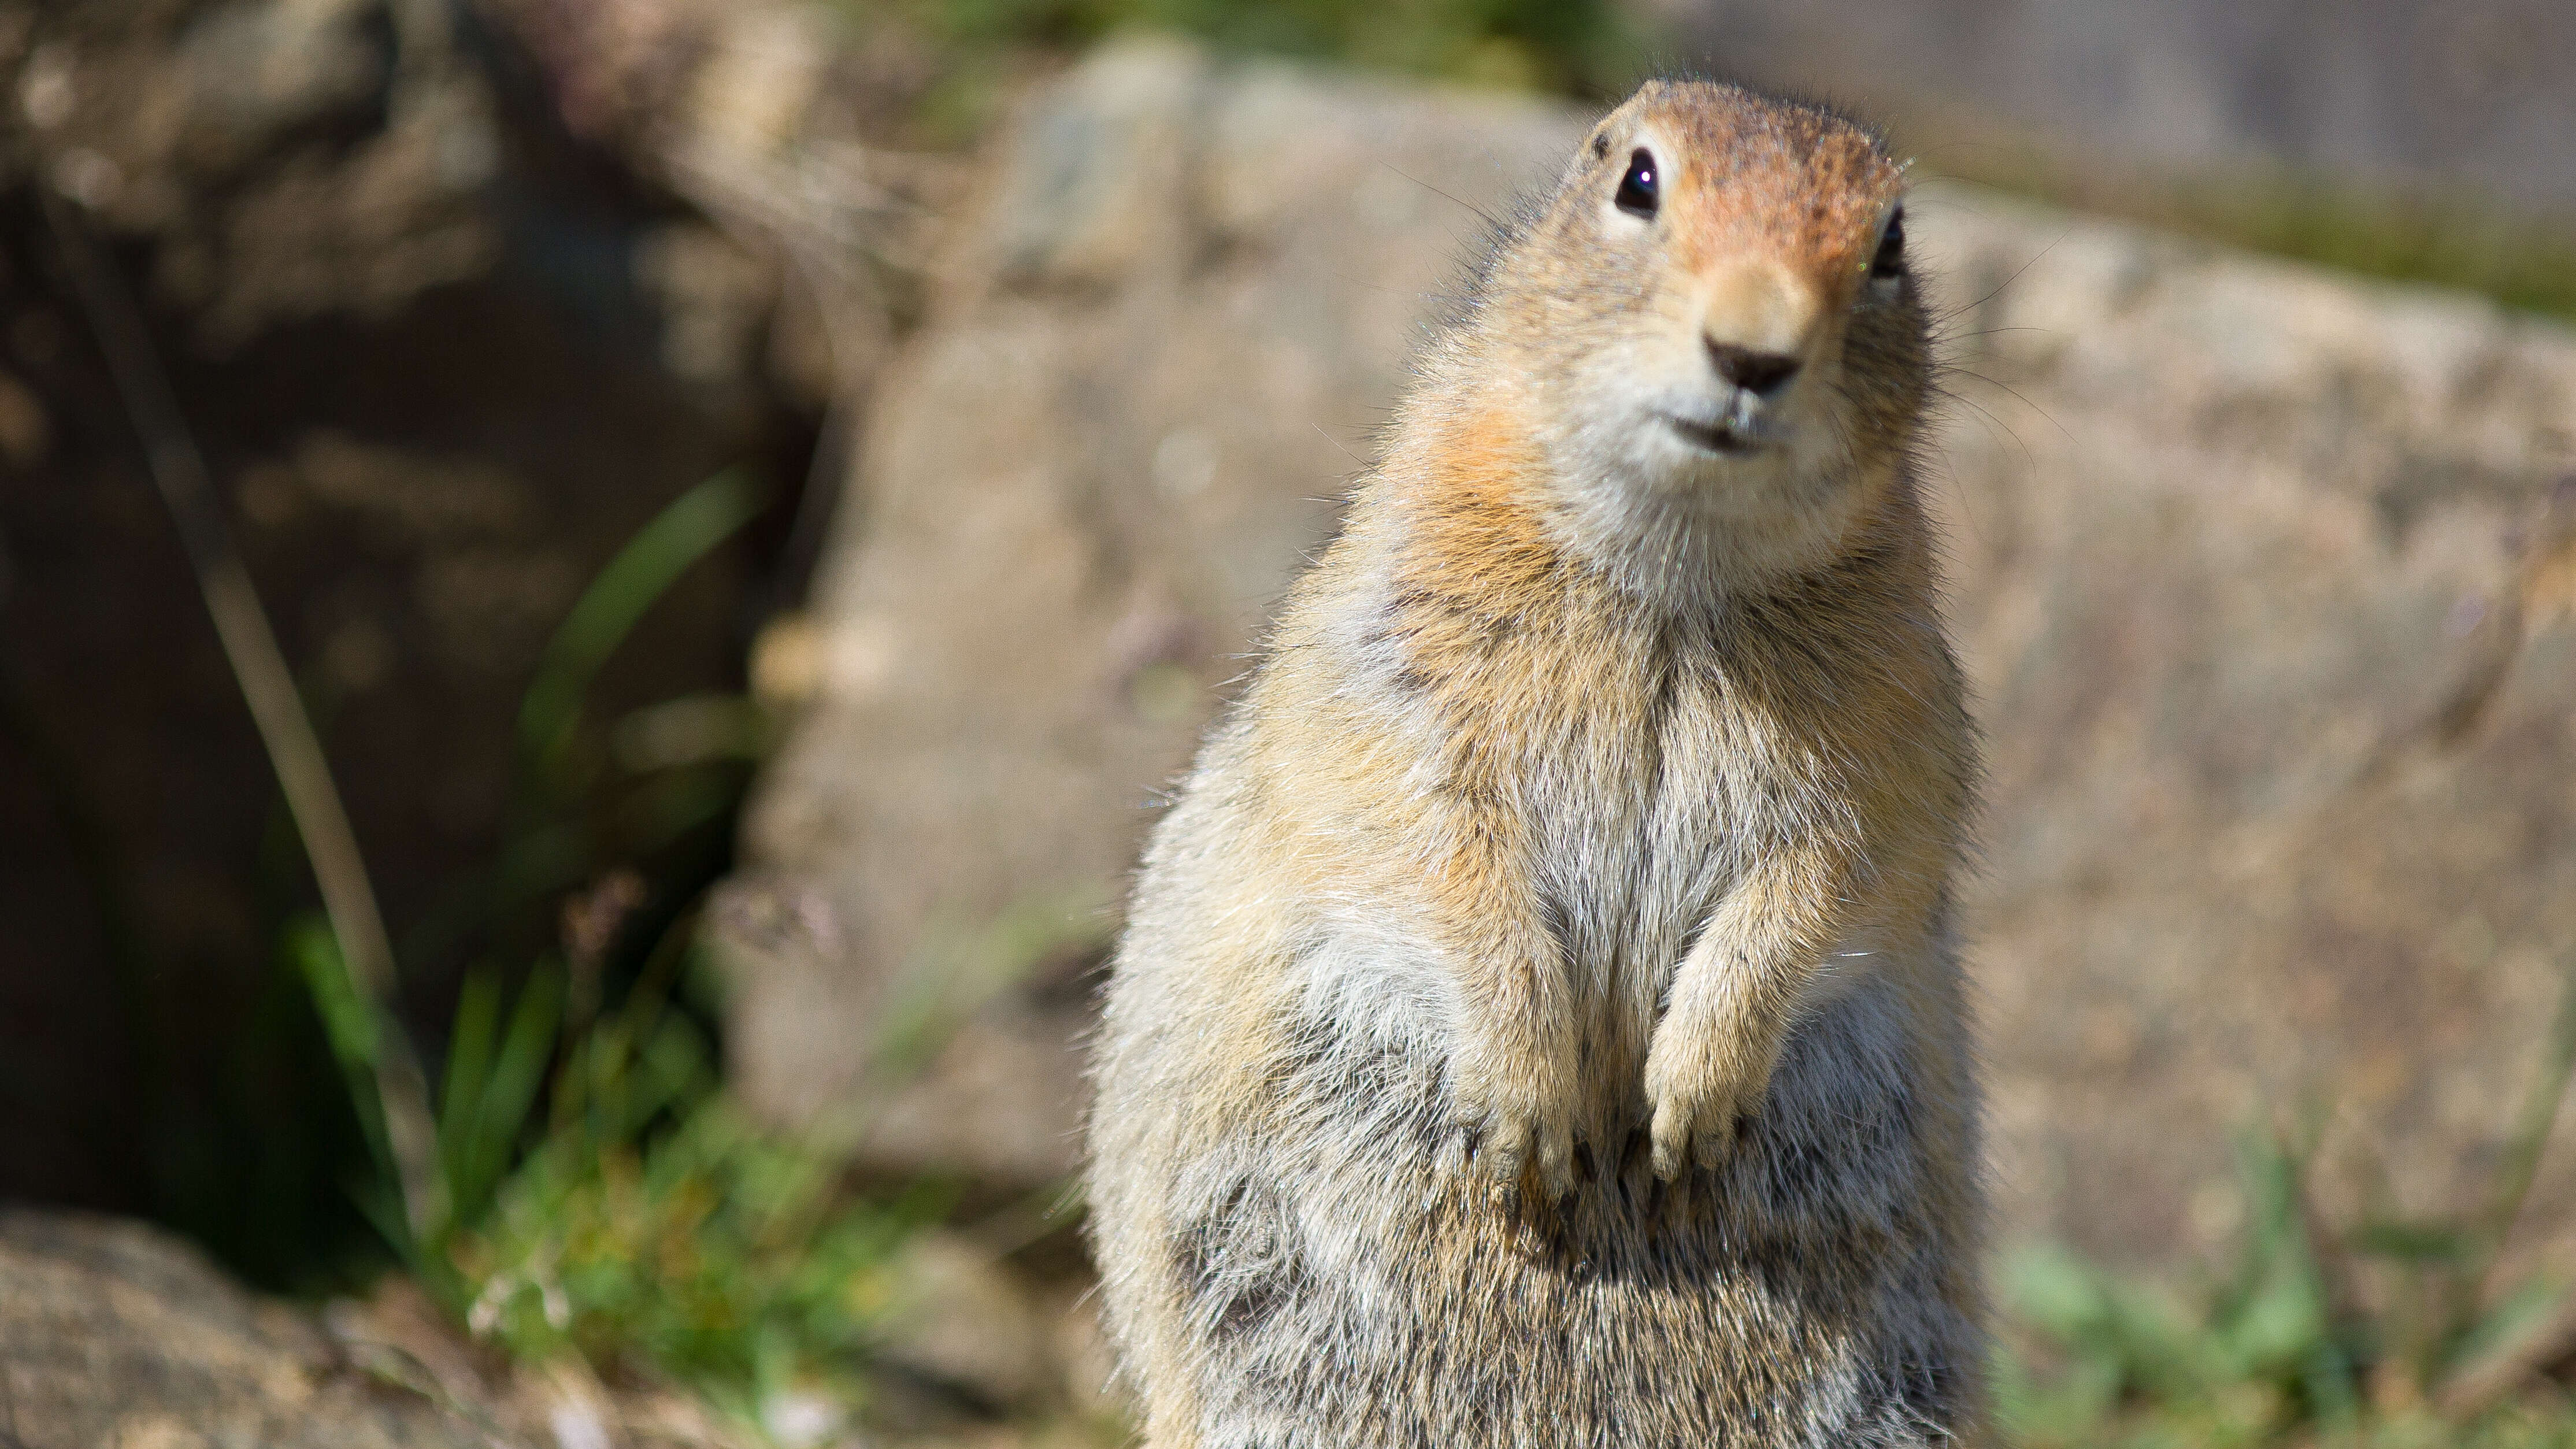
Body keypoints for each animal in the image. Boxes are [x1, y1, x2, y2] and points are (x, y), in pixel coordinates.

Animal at [1077, 79, 1978, 1444]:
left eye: (1890, 243)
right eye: (1637, 181)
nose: (1754, 351)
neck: (1675, 575)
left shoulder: (1898, 743)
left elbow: (1823, 887)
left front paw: (1688, 1106)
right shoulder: (1389, 685)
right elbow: (1436, 858)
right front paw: (1535, 1109)